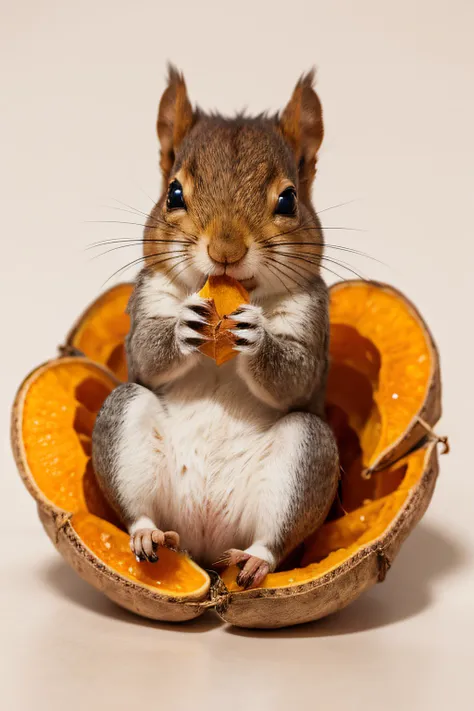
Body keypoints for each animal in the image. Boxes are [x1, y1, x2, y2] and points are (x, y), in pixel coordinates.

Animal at [91, 67, 336, 588]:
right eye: (174, 193)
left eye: (289, 200)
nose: (226, 250)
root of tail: (204, 541)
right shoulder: (147, 296)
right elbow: (144, 353)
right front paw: (182, 326)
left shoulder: (313, 320)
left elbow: (297, 375)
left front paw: (257, 338)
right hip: (126, 425)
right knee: (139, 511)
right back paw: (148, 535)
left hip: (304, 457)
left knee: (272, 538)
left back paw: (255, 561)